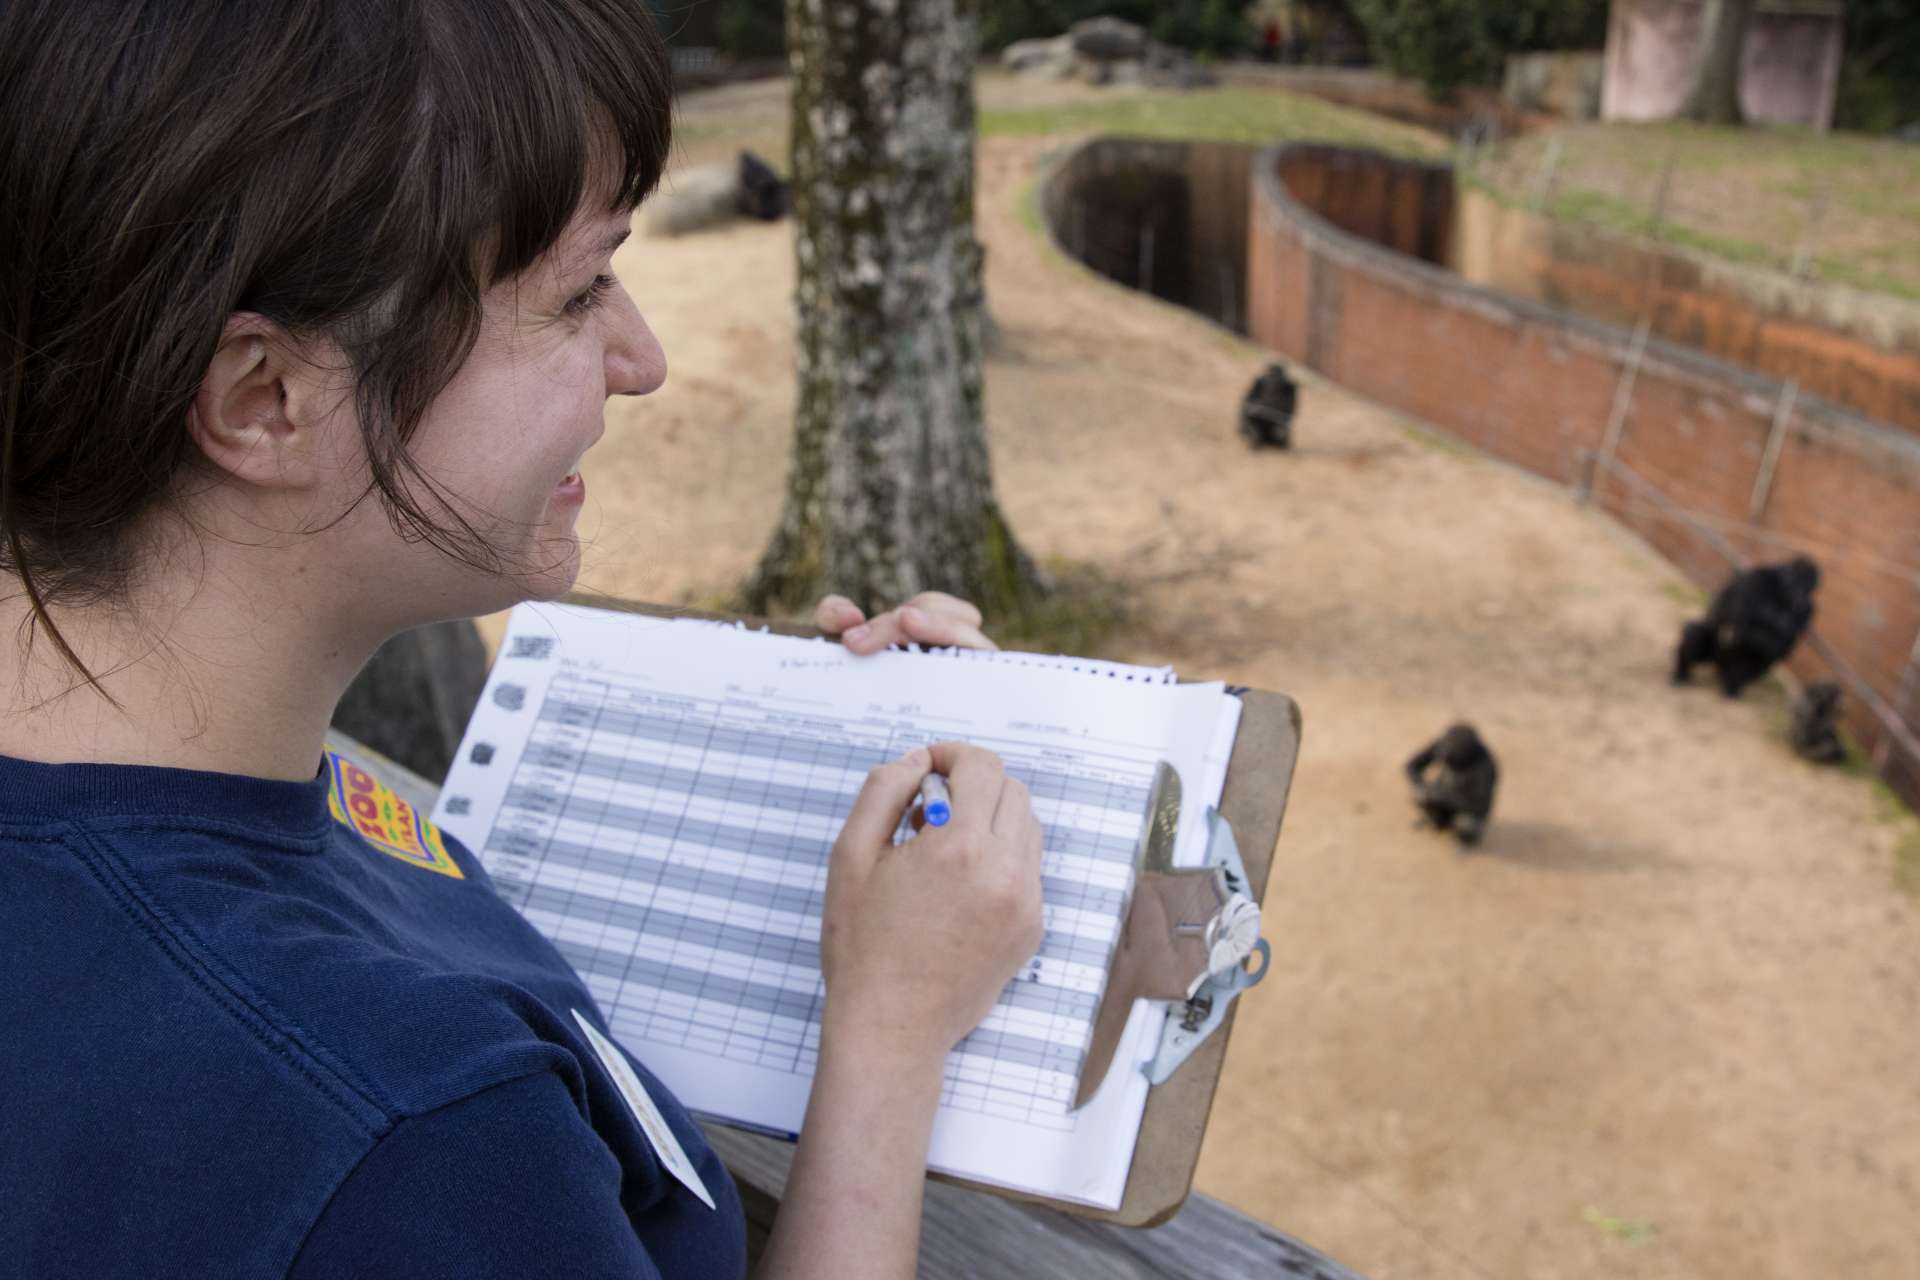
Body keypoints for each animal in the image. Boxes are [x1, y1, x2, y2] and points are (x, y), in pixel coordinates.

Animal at [1674, 556, 1820, 702]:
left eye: (1808, 587)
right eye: (1795, 583)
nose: (1800, 597)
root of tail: (1718, 667)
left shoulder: (1809, 610)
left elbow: (1780, 647)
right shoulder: (1755, 581)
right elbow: (1742, 626)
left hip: (1726, 668)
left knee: (1759, 663)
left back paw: (1732, 688)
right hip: (1713, 657)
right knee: (1694, 632)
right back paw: (1681, 673)